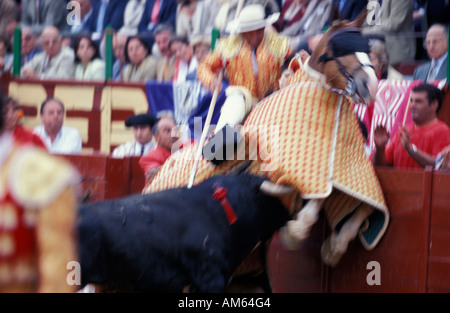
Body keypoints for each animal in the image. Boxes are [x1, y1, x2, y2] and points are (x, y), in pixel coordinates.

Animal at [143, 10, 386, 272]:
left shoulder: (338, 178)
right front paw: (294, 234)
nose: (370, 84)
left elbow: (357, 208)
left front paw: (332, 249)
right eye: (339, 47)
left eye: (366, 47)